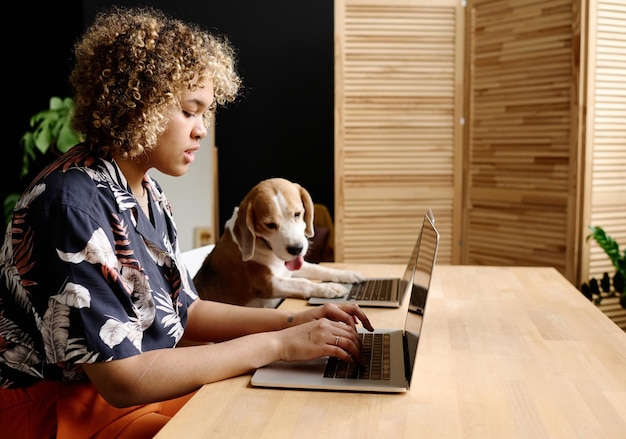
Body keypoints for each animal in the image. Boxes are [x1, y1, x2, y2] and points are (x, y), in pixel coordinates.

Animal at [193, 177, 364, 308]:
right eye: (269, 225)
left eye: (297, 214)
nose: (296, 249)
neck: (266, 248)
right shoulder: (266, 283)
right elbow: (302, 283)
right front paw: (328, 287)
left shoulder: (290, 268)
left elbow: (320, 268)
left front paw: (347, 274)